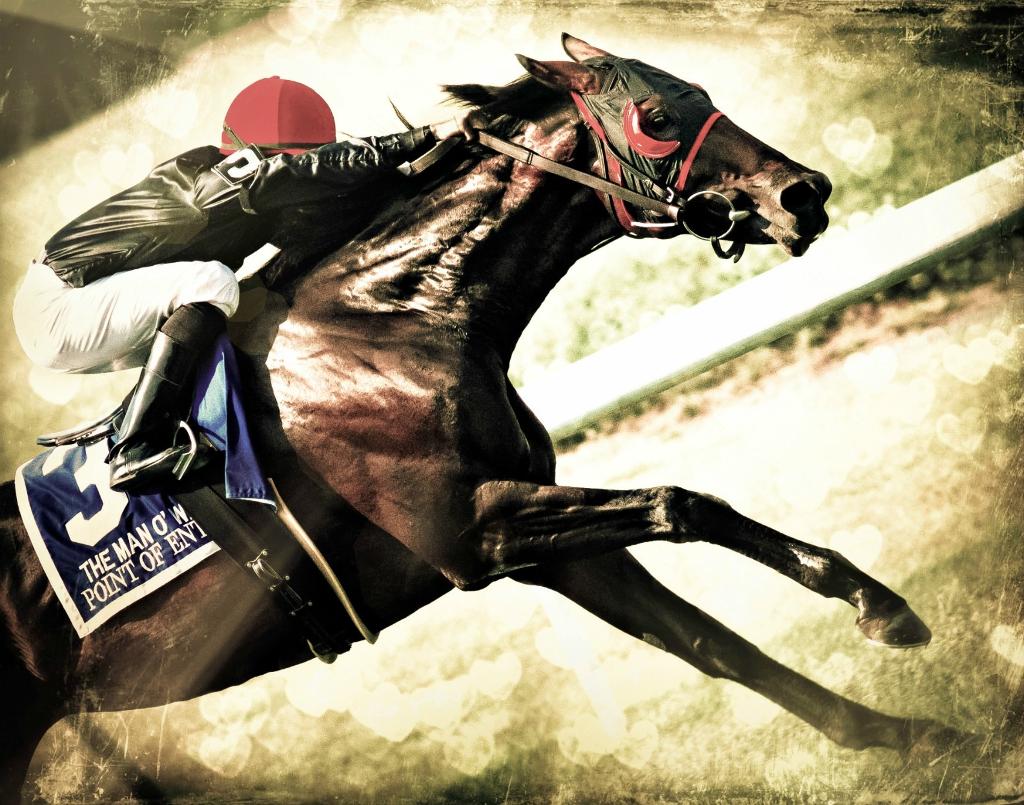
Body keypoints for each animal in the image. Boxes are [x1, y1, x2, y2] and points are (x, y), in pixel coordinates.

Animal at [1, 34, 965, 801]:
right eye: (656, 116)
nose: (805, 193)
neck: (392, 317)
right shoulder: (473, 533)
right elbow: (683, 503)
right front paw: (876, 603)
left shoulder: (541, 543)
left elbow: (709, 640)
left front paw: (907, 731)